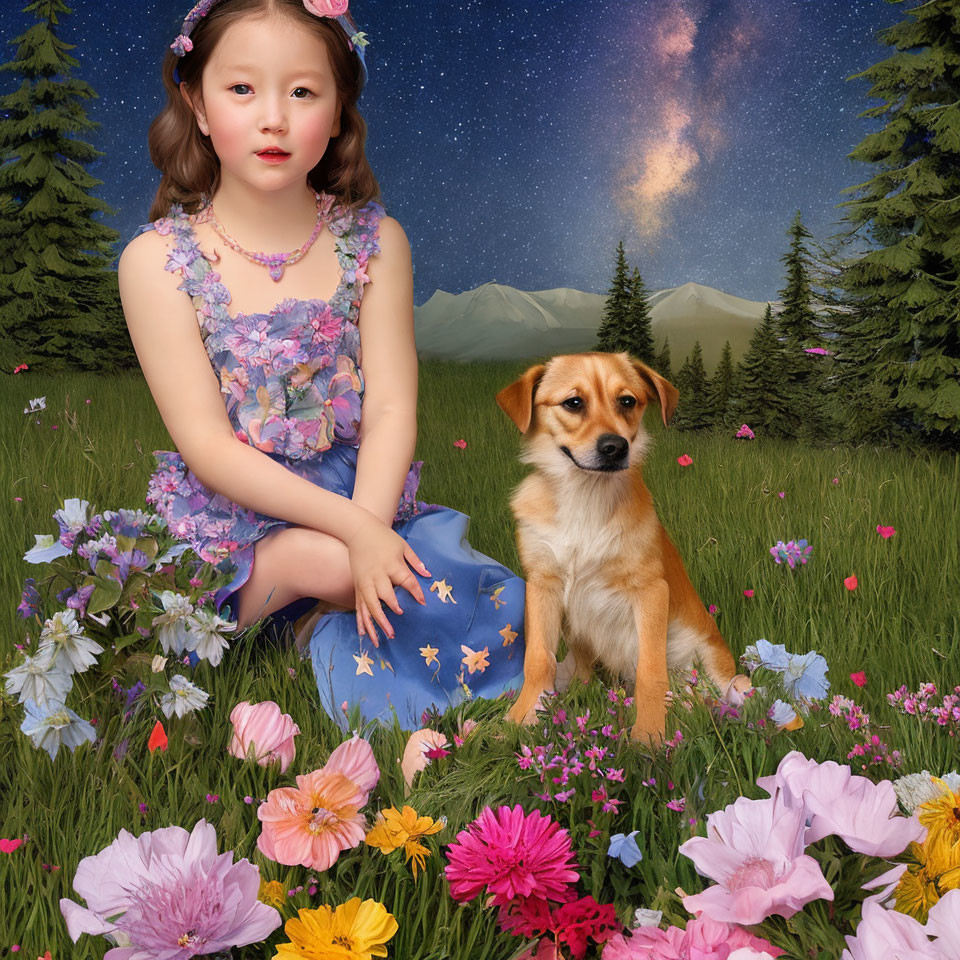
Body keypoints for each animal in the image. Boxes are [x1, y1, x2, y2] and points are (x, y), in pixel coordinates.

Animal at [498, 350, 752, 744]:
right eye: (573, 402)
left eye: (628, 401)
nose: (615, 447)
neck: (585, 499)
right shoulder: (542, 586)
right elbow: (538, 660)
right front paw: (521, 718)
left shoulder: (650, 591)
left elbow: (651, 670)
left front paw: (649, 734)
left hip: (721, 670)